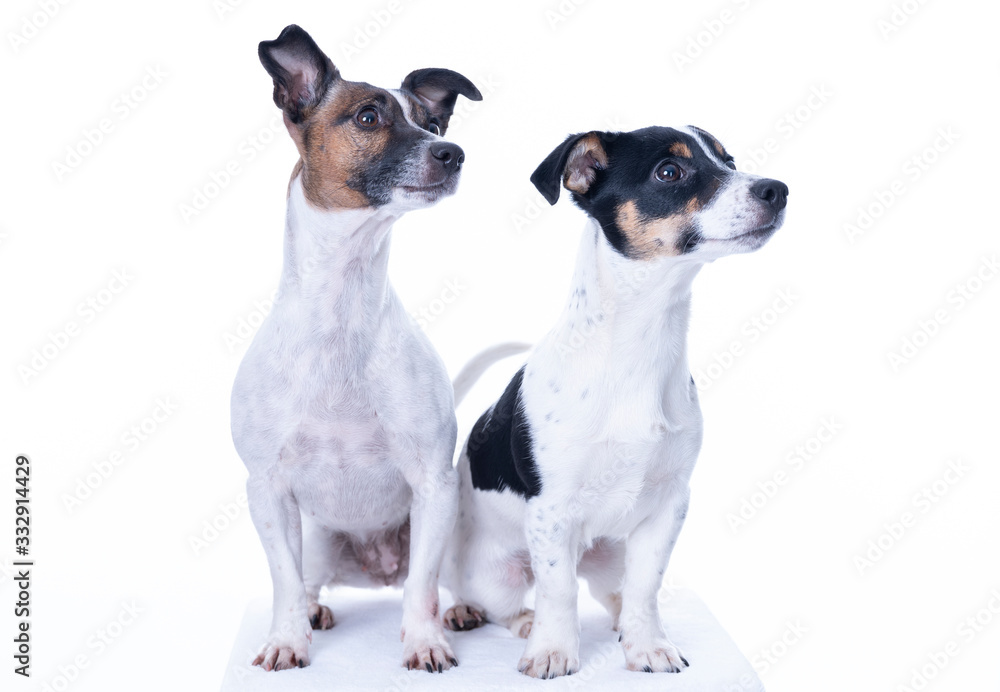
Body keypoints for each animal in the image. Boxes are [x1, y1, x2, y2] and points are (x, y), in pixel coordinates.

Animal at [234, 24, 484, 672]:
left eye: (433, 122)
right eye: (369, 116)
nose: (452, 152)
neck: (342, 308)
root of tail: (378, 566)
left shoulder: (433, 485)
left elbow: (422, 589)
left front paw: (424, 641)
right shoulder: (267, 490)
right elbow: (283, 578)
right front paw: (287, 638)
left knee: (434, 579)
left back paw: (459, 609)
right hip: (320, 538)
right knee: (308, 578)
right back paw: (314, 611)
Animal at [446, 127, 788, 680]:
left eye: (730, 161)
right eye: (669, 171)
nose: (778, 190)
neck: (639, 348)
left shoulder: (668, 507)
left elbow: (645, 589)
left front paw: (648, 646)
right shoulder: (551, 514)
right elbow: (558, 591)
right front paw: (552, 651)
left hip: (609, 559)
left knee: (615, 595)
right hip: (492, 575)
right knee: (498, 600)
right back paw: (497, 617)